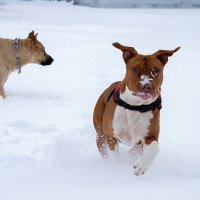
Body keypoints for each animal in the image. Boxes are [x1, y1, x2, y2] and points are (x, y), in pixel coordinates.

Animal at [93, 43, 180, 176]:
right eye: (135, 68)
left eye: (156, 69)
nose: (146, 86)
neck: (136, 106)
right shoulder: (111, 137)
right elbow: (114, 156)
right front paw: (116, 167)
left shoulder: (150, 137)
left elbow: (155, 147)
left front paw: (142, 165)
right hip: (100, 134)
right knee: (102, 146)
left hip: (137, 146)